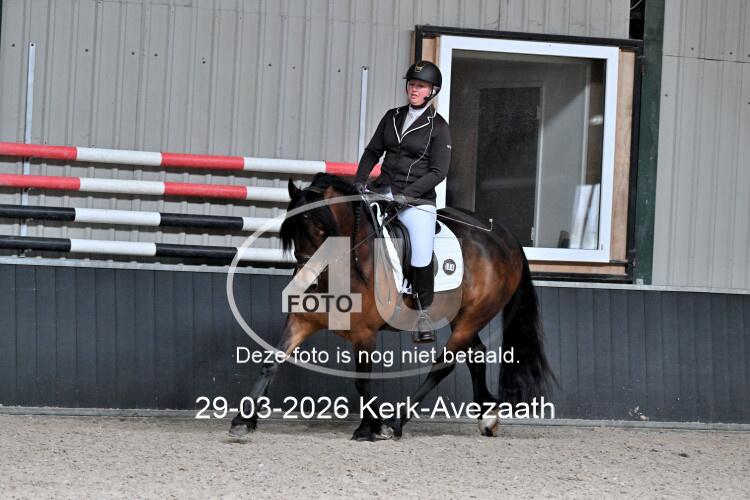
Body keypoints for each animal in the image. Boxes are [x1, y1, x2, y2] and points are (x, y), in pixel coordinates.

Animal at [229, 173, 555, 440]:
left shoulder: (364, 333)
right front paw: (242, 422)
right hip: (462, 317)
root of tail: (504, 237)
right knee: (475, 353)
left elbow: (362, 382)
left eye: (323, 228)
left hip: (474, 315)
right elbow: (270, 362)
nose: (306, 284)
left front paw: (371, 428)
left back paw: (397, 422)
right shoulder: (302, 321)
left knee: (444, 364)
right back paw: (486, 417)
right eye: (292, 231)